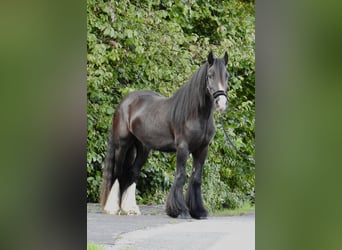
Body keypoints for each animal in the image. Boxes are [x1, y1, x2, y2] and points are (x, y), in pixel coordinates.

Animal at [101, 50, 230, 219]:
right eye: (210, 74)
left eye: (227, 75)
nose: (221, 103)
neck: (195, 114)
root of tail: (124, 102)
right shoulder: (183, 148)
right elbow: (181, 176)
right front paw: (180, 210)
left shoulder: (202, 149)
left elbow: (196, 178)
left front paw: (199, 211)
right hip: (122, 145)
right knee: (117, 172)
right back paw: (113, 208)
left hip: (143, 148)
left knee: (132, 173)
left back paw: (130, 209)